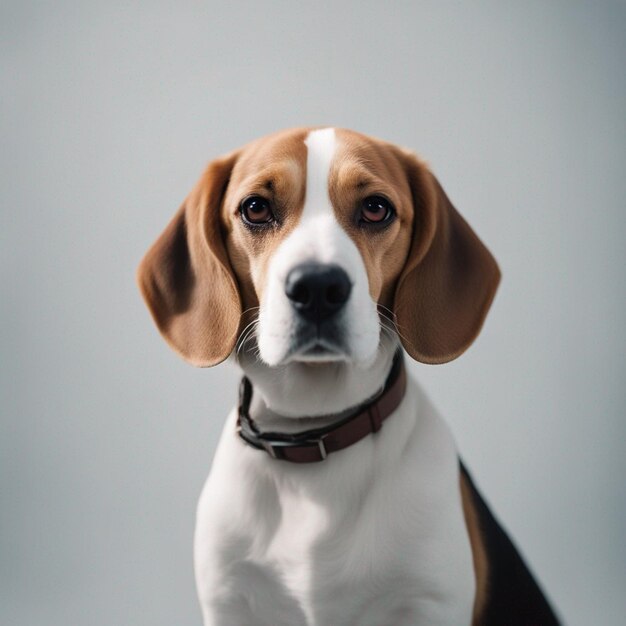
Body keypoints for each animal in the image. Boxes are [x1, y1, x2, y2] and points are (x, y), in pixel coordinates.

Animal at [136, 128, 556, 624]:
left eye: (376, 208)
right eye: (255, 208)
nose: (318, 287)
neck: (313, 439)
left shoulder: (427, 603)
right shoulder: (230, 601)